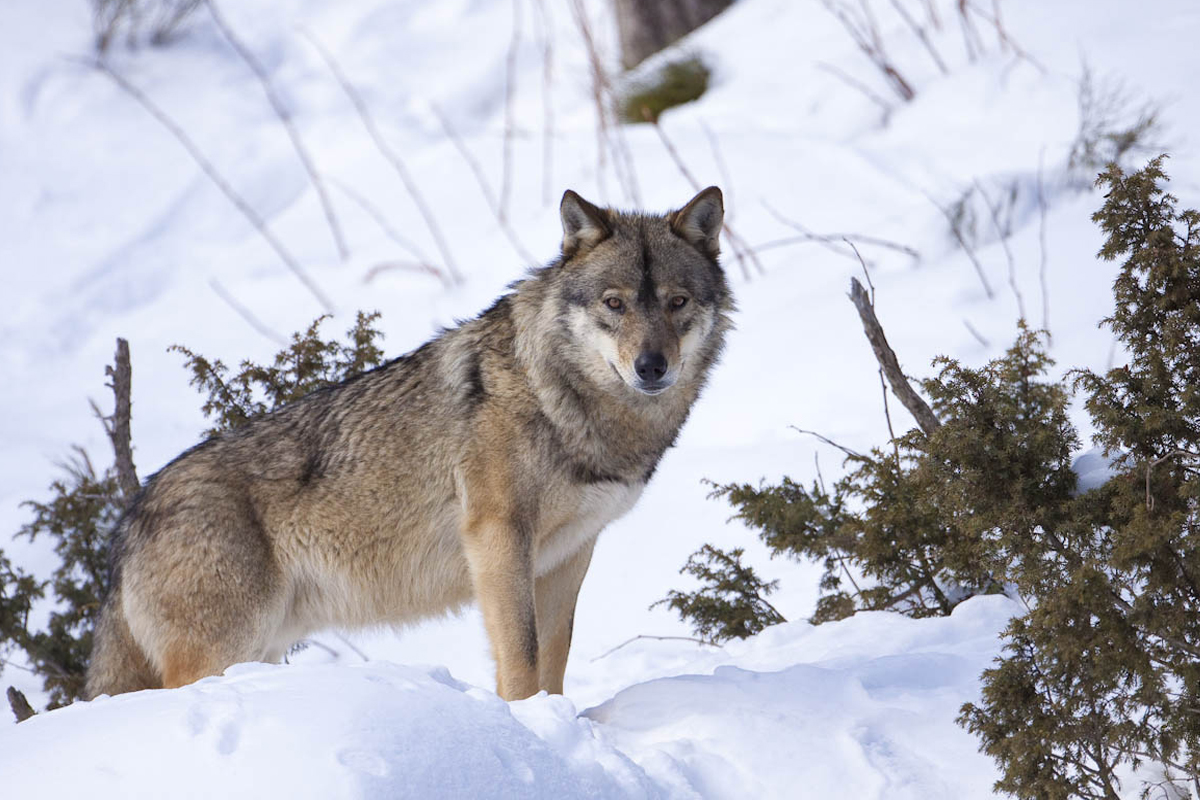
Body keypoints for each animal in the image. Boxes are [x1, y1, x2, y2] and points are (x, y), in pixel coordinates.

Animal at [84, 185, 729, 700]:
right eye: (614, 303)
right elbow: (521, 658)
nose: (652, 367)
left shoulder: (570, 554)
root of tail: (130, 516)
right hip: (224, 651)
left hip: (258, 650)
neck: (567, 404)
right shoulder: (497, 538)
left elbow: (555, 658)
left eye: (676, 302)